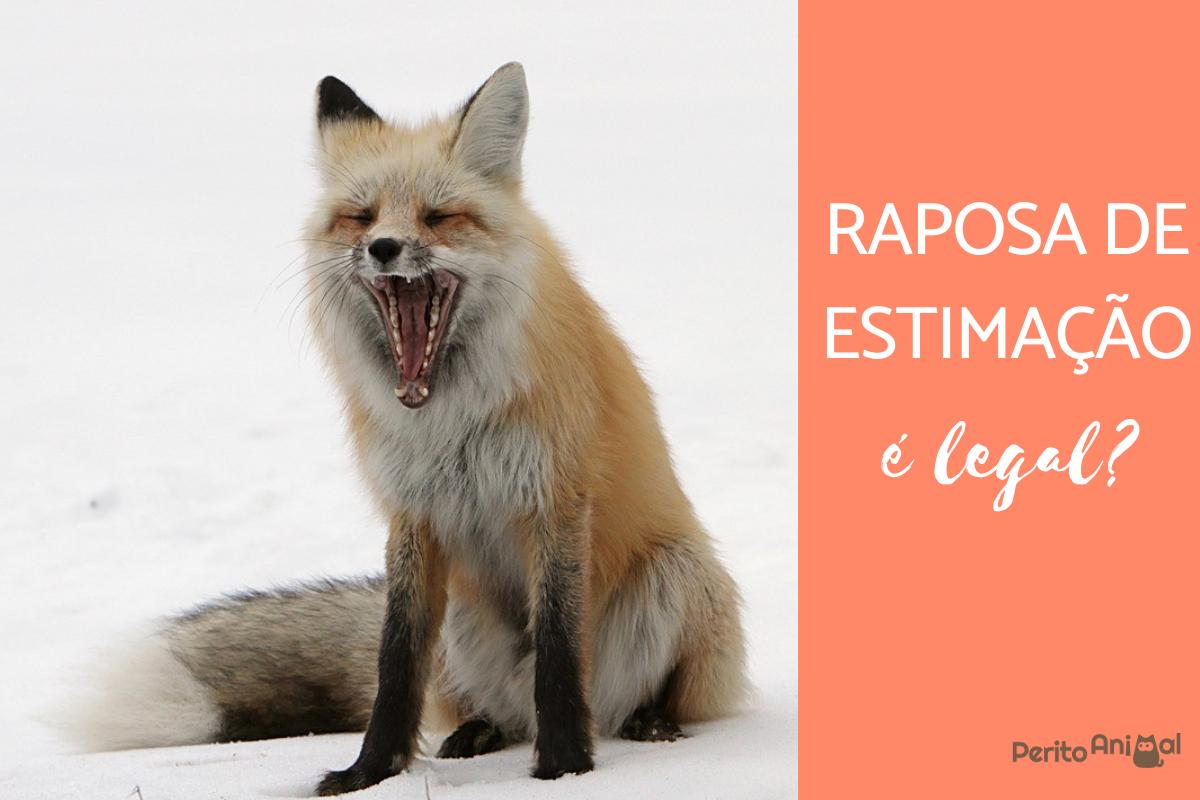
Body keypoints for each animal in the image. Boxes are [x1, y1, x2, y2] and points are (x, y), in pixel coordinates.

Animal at [70, 63, 748, 794]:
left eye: (439, 216)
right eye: (361, 217)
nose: (383, 247)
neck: (449, 422)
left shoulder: (555, 500)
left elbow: (560, 654)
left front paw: (566, 767)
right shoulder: (412, 513)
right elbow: (395, 663)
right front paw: (369, 773)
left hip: (677, 573)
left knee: (626, 695)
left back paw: (648, 720)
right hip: (463, 622)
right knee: (491, 708)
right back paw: (477, 730)